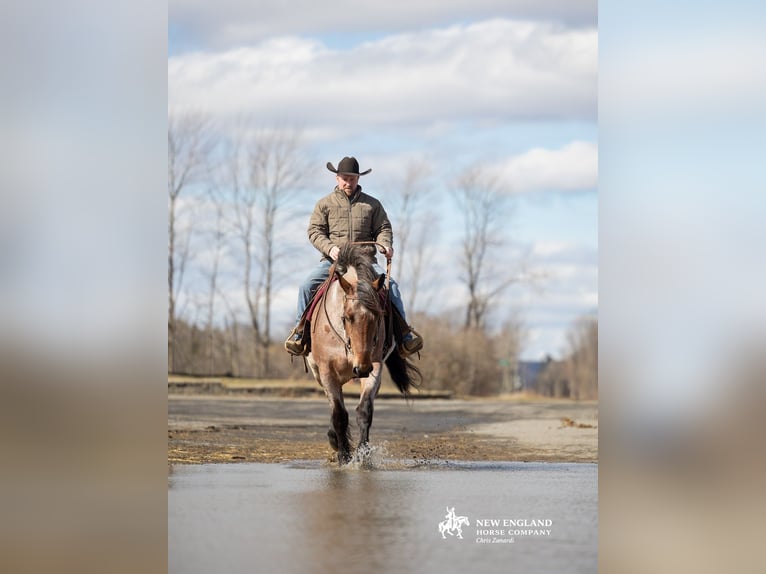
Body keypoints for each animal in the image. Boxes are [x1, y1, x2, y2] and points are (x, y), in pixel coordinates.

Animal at [306, 243, 421, 465]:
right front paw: (343, 455)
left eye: (378, 316)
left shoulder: (374, 366)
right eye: (347, 317)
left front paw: (362, 455)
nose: (361, 367)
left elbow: (364, 411)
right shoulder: (327, 371)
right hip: (319, 374)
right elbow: (339, 414)